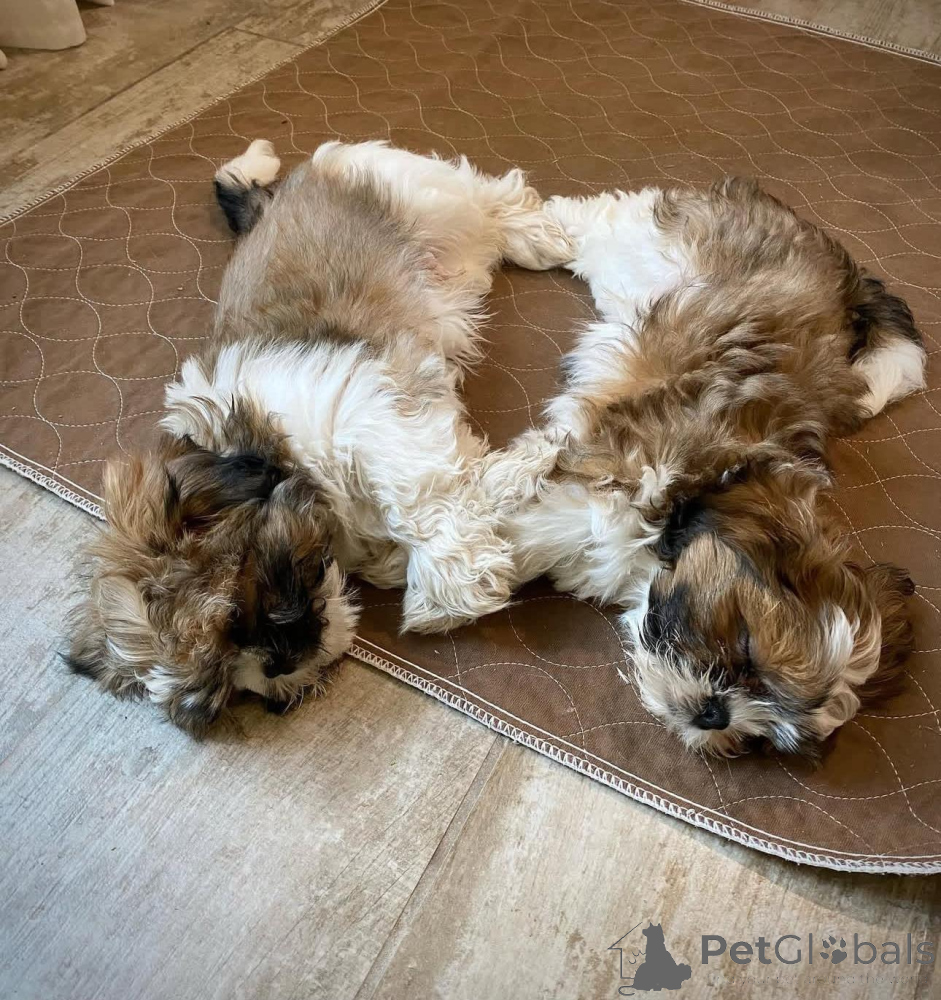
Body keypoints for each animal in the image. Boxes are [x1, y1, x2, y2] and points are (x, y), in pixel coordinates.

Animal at [67, 139, 572, 733]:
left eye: (235, 618)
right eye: (229, 689)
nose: (275, 671)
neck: (251, 443)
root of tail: (286, 191)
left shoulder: (361, 404)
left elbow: (412, 495)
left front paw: (447, 585)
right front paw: (510, 482)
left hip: (419, 193)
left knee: (493, 197)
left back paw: (547, 234)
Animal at [483, 178, 925, 756]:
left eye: (769, 735)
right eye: (746, 649)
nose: (717, 714)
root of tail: (844, 270)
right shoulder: (619, 470)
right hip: (664, 239)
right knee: (594, 218)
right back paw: (522, 228)